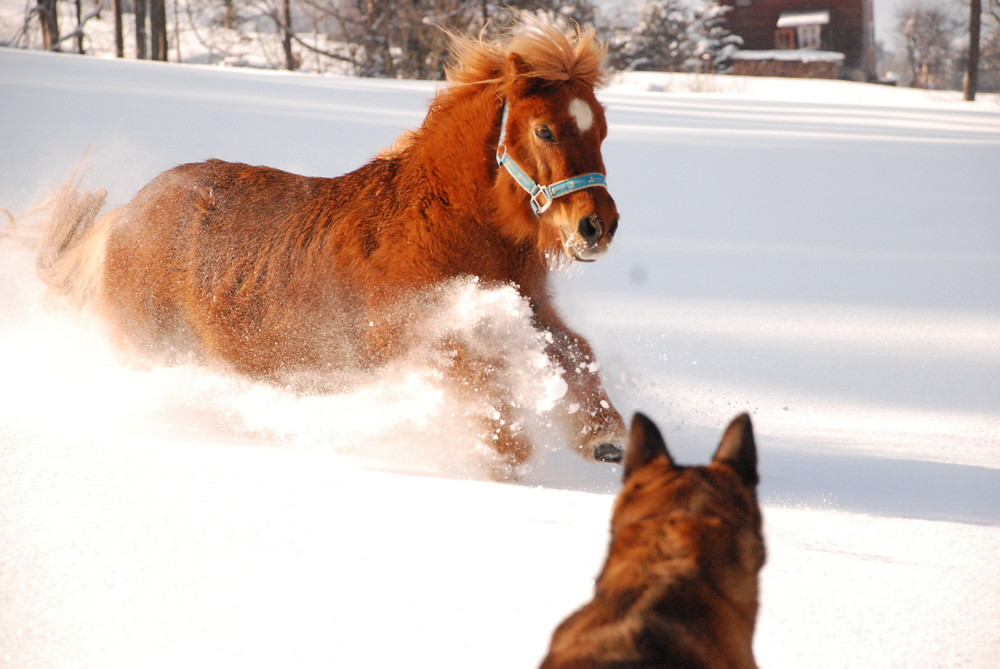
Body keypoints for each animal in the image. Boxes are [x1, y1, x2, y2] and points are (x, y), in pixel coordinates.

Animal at [37, 10, 624, 470]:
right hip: (149, 348)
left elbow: (575, 349)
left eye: (601, 130)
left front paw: (606, 436)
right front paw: (506, 454)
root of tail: (126, 215)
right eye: (544, 131)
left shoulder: (529, 305)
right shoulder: (416, 335)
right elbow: (481, 378)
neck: (441, 221)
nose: (597, 227)